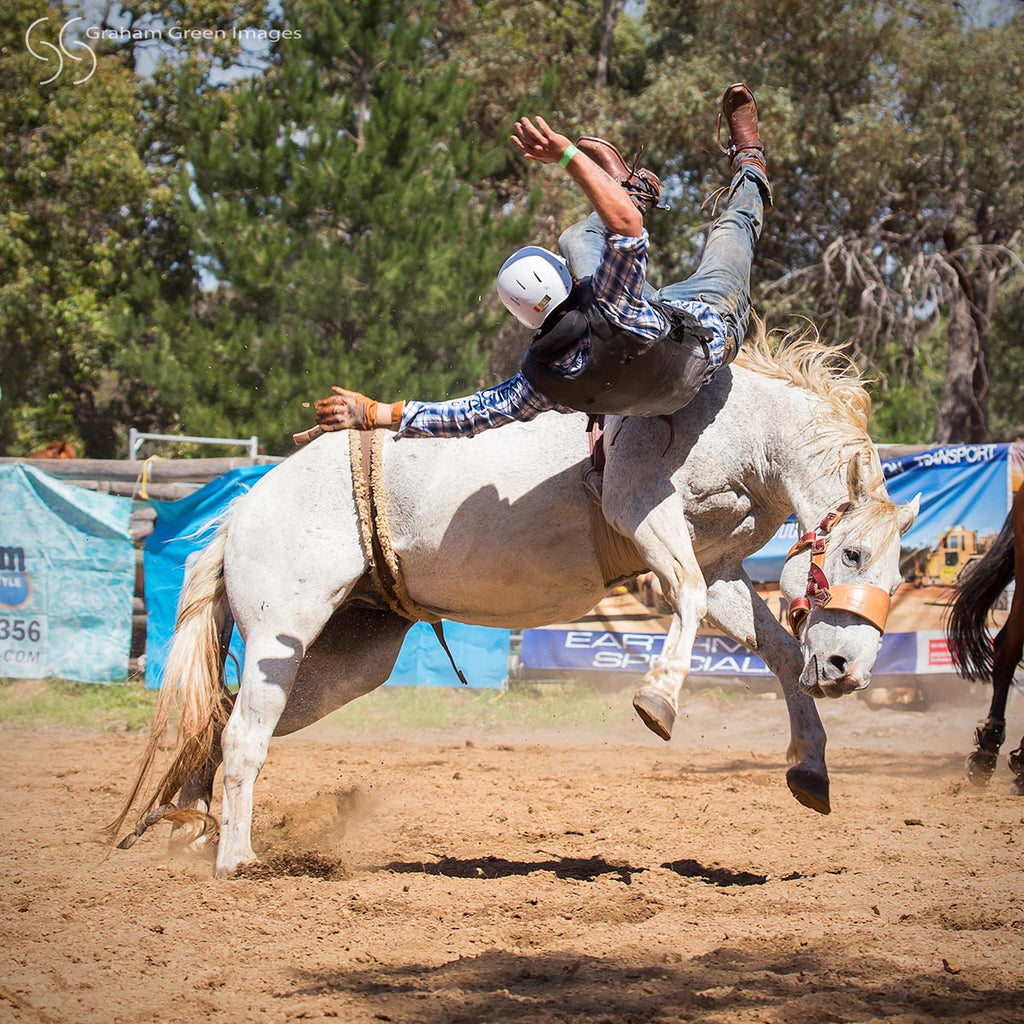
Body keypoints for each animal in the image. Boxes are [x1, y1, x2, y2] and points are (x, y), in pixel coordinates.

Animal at [112, 331, 921, 876]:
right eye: (851, 554)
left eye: (897, 576)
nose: (849, 667)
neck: (740, 424)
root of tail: (242, 507)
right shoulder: (641, 507)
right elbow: (685, 597)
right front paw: (658, 701)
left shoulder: (723, 566)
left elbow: (778, 649)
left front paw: (810, 767)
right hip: (281, 633)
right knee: (243, 735)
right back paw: (235, 859)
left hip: (350, 656)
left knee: (221, 723)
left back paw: (193, 832)